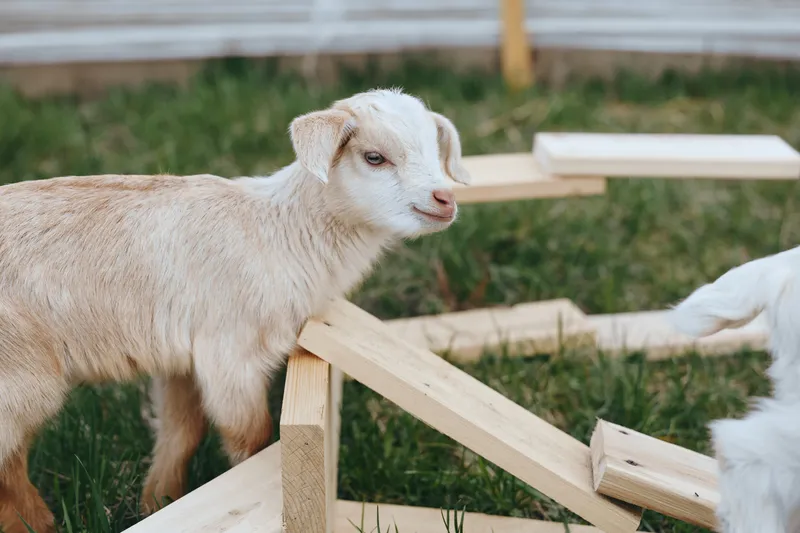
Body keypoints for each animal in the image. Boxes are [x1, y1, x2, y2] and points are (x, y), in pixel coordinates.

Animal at [0, 87, 471, 533]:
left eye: (436, 149)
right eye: (374, 157)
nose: (445, 200)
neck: (279, 231)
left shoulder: (181, 358)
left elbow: (181, 432)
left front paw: (159, 501)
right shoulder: (231, 353)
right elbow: (252, 439)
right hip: (22, 375)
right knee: (9, 465)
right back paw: (38, 523)